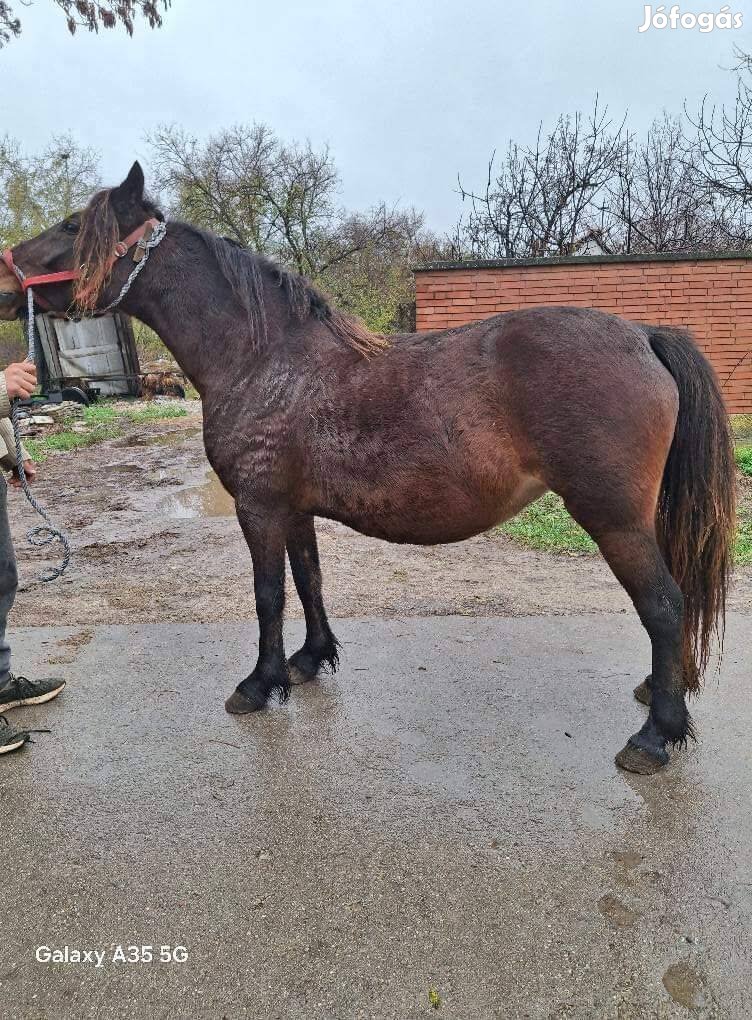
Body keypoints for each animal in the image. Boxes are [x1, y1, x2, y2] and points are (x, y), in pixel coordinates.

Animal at [0, 165, 734, 771]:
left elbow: (268, 595)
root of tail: (643, 333)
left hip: (614, 519)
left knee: (664, 605)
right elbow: (309, 580)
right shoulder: (292, 509)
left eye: (74, 225)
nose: (7, 271)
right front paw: (309, 661)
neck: (263, 359)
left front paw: (259, 684)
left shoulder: (258, 507)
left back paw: (655, 737)